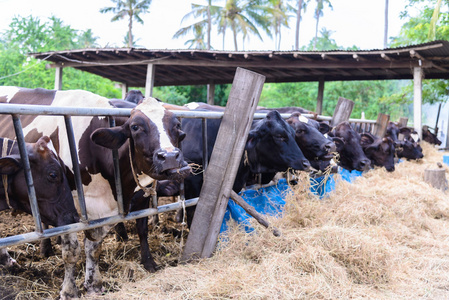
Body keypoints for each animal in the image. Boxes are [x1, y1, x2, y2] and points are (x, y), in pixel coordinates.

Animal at [0, 86, 191, 298]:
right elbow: (72, 251)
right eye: (135, 127)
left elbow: (94, 247)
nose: (170, 157)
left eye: (177, 126)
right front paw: (69, 291)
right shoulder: (67, 207)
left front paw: (93, 284)